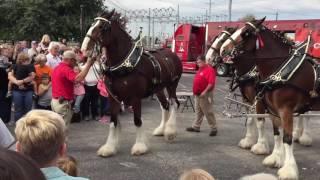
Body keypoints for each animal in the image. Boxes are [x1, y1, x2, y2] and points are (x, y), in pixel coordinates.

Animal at [81, 9, 182, 157]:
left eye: (102, 27)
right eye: (92, 24)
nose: (84, 49)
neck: (124, 63)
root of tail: (172, 54)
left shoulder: (135, 98)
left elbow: (137, 120)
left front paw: (140, 146)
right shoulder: (113, 97)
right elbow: (113, 121)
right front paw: (109, 147)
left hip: (172, 85)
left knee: (174, 103)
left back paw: (170, 132)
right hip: (158, 89)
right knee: (165, 106)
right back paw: (161, 130)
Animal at [220, 17, 318, 179]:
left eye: (246, 33)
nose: (223, 49)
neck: (279, 69)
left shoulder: (284, 109)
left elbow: (286, 138)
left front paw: (288, 169)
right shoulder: (272, 109)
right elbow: (277, 133)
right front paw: (276, 158)